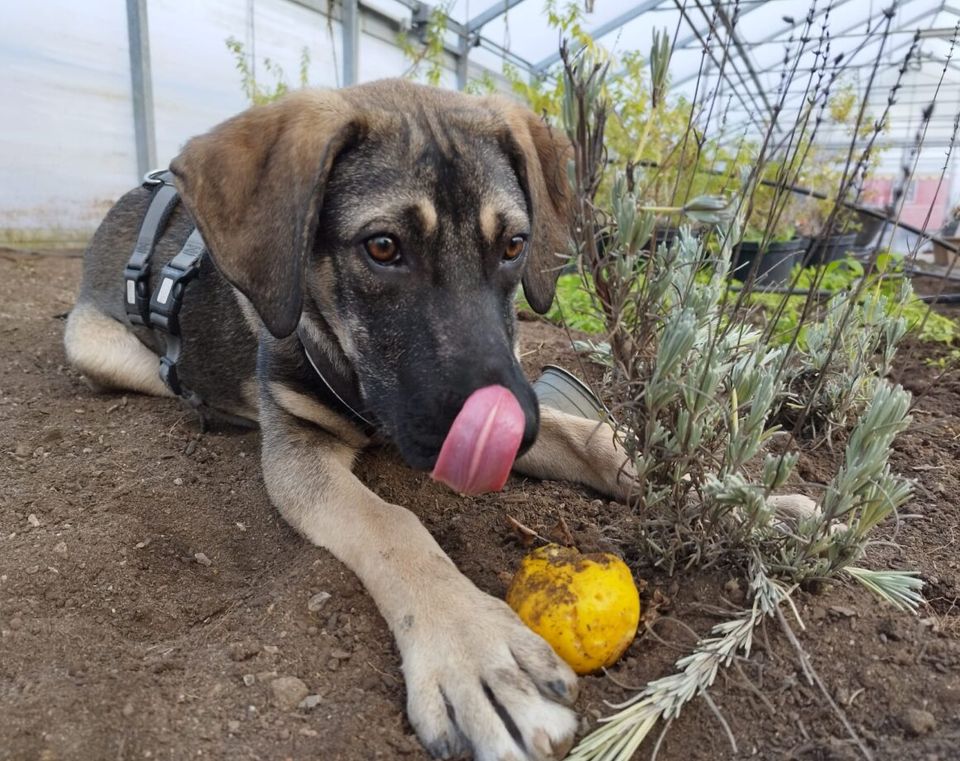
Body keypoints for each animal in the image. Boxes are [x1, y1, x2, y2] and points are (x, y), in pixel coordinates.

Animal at [67, 78, 636, 760]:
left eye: (514, 246)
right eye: (383, 247)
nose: (510, 436)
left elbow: (584, 434)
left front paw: (668, 473)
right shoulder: (299, 446)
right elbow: (393, 525)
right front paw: (474, 651)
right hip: (98, 347)